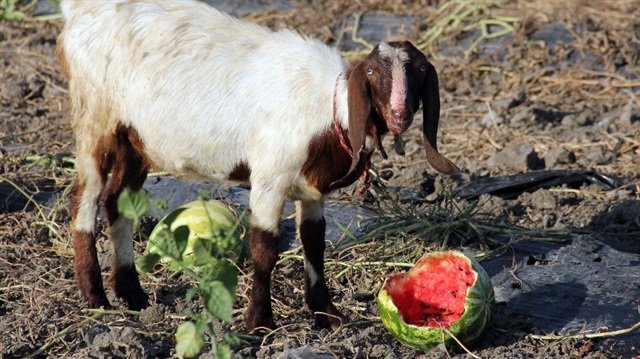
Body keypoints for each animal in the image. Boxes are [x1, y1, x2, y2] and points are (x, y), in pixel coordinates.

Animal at [55, 0, 456, 332]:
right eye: (372, 73)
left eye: (421, 70)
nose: (400, 115)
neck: (327, 111)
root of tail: (78, 12)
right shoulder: (269, 178)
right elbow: (265, 248)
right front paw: (259, 322)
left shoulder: (311, 189)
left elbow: (314, 241)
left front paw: (326, 313)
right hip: (95, 119)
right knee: (84, 198)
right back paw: (95, 296)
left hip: (136, 140)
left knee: (117, 201)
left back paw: (132, 294)